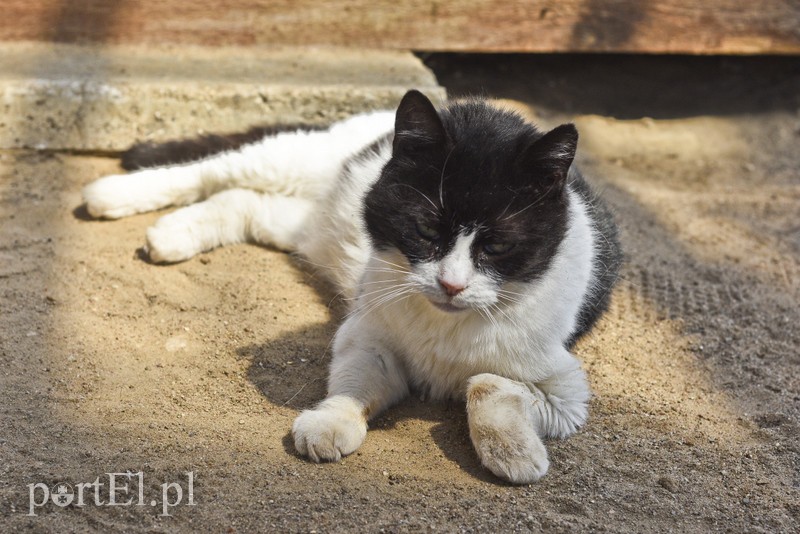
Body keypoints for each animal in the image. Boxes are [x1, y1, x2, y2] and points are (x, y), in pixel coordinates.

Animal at [81, 90, 620, 484]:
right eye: (426, 229)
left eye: (498, 246)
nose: (451, 284)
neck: (445, 327)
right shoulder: (367, 335)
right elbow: (356, 384)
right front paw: (331, 422)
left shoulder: (565, 395)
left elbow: (485, 383)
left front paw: (515, 452)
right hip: (290, 161)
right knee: (211, 171)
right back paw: (112, 195)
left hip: (304, 226)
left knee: (243, 201)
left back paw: (174, 234)